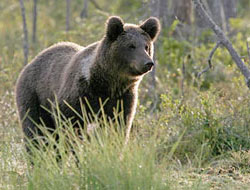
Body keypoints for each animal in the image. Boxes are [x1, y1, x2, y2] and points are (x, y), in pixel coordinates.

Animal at [15, 15, 160, 150]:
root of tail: (30, 62)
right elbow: (69, 127)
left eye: (146, 46)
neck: (108, 83)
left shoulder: (123, 99)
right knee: (35, 130)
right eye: (131, 46)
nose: (148, 63)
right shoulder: (78, 96)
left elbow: (119, 127)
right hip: (34, 96)